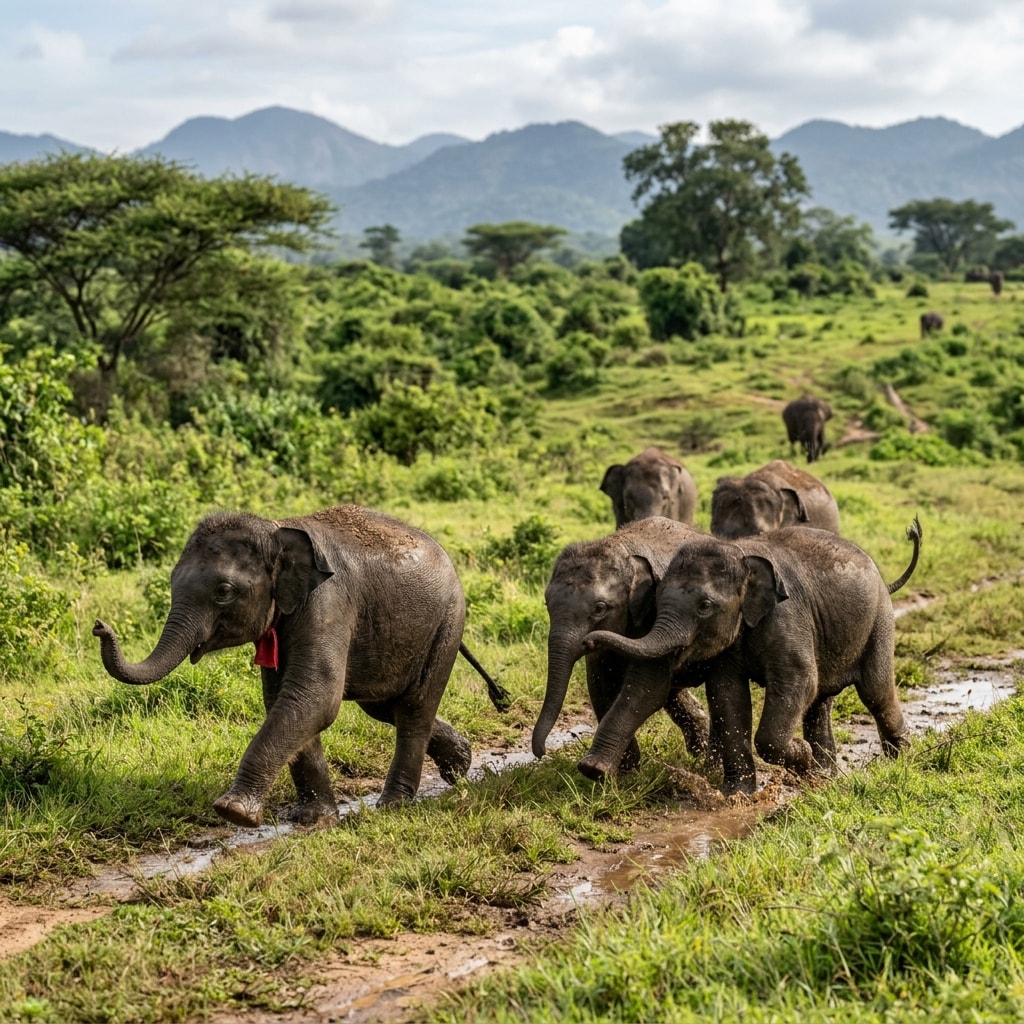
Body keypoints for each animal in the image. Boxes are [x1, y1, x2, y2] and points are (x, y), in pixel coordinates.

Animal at [93, 505, 509, 828]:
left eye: (224, 592)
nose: (99, 626)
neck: (276, 529)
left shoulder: (329, 602)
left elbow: (315, 697)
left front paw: (233, 812)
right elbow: (286, 699)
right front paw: (313, 819)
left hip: (448, 622)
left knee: (413, 707)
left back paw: (394, 805)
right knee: (383, 706)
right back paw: (459, 766)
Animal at [532, 516, 711, 771]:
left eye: (599, 609)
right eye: (547, 604)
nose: (541, 752)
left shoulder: (659, 616)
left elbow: (648, 687)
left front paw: (598, 769)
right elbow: (600, 683)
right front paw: (627, 770)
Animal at [579, 518, 922, 795]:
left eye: (704, 606)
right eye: (658, 598)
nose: (588, 641)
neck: (740, 555)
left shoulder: (787, 615)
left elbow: (797, 682)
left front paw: (801, 755)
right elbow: (727, 695)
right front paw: (738, 794)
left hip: (879, 620)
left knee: (875, 690)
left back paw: (899, 759)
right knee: (821, 701)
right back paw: (824, 773)